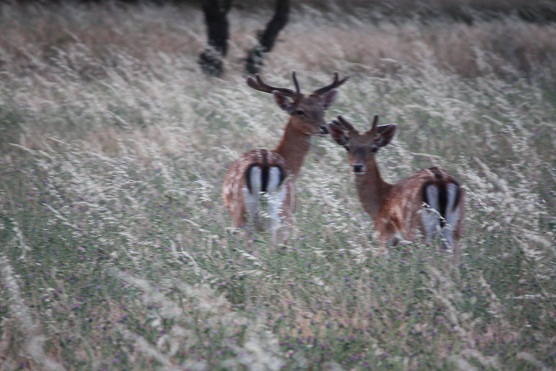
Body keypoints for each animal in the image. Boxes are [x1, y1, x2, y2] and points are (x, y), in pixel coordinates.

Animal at [222, 71, 348, 246]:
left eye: (322, 108)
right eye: (300, 111)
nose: (324, 128)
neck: (288, 160)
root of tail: (265, 165)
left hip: (251, 212)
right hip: (278, 212)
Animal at [330, 115, 464, 264]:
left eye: (374, 148)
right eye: (347, 147)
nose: (357, 166)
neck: (379, 204)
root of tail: (440, 181)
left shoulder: (384, 235)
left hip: (415, 228)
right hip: (455, 227)